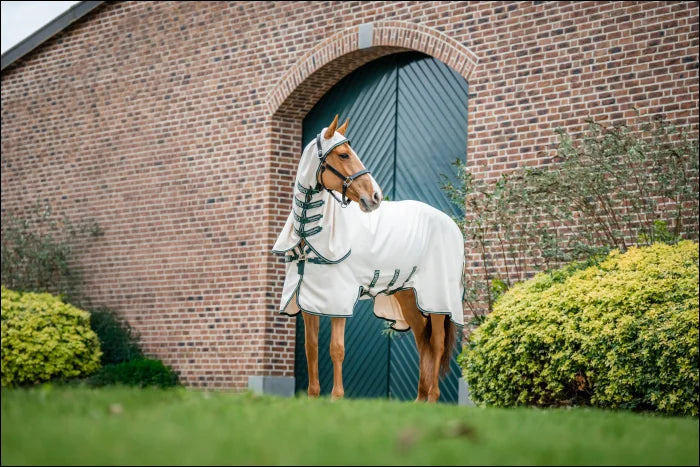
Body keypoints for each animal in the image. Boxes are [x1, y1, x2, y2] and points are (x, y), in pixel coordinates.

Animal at [273, 115, 465, 403]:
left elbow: (336, 348)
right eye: (343, 154)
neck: (311, 232)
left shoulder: (337, 299)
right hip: (408, 295)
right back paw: (419, 401)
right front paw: (314, 398)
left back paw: (432, 398)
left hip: (438, 300)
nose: (375, 197)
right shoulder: (308, 300)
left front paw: (337, 398)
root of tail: (450, 224)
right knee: (423, 340)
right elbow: (311, 347)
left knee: (438, 343)